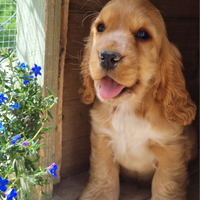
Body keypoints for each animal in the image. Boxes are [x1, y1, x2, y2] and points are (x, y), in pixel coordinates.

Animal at [78, 0, 197, 199]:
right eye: (101, 27)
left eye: (143, 34)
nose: (108, 57)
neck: (128, 108)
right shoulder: (102, 138)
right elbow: (103, 174)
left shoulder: (172, 148)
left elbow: (165, 184)